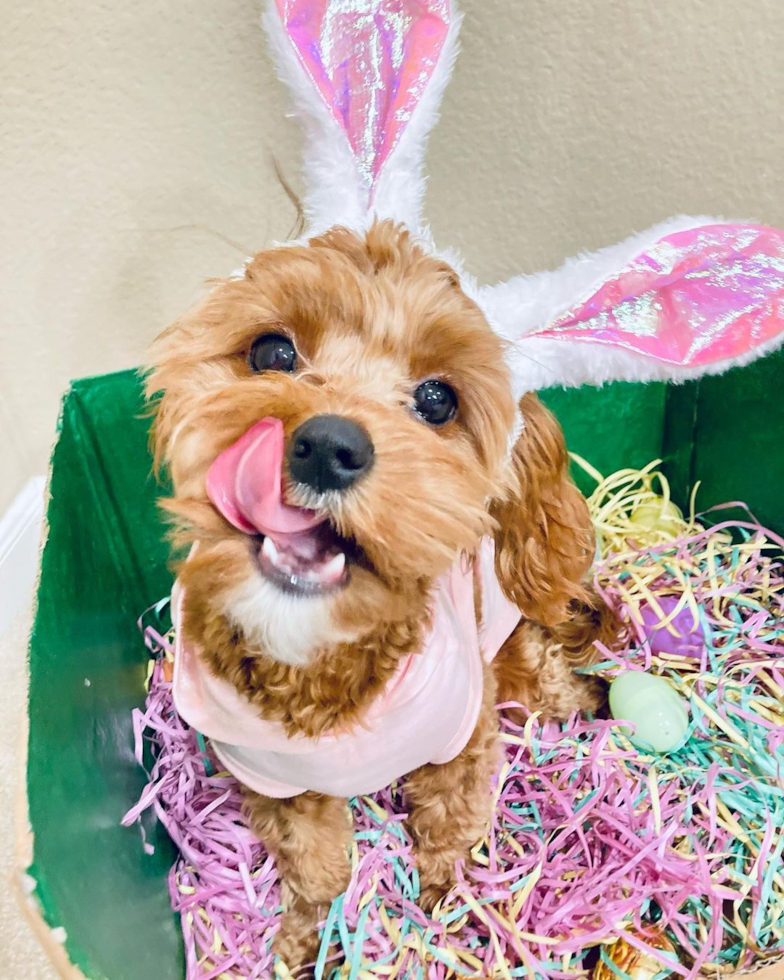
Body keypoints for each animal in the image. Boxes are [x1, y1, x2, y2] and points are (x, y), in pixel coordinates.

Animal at [147, 218, 612, 968]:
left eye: (437, 399)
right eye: (272, 351)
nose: (328, 446)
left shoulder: (461, 744)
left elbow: (448, 827)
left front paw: (447, 905)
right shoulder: (276, 787)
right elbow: (315, 866)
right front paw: (307, 938)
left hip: (520, 668)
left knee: (558, 687)